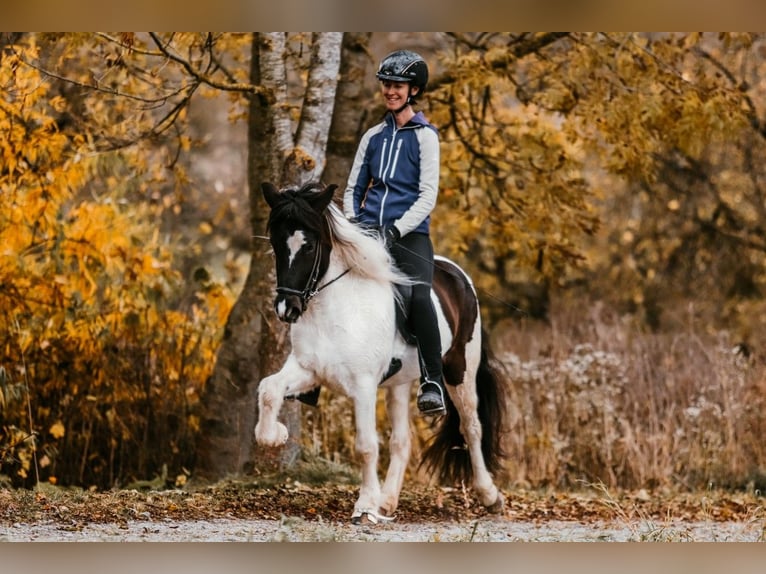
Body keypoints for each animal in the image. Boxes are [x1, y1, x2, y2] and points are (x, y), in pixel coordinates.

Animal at [254, 181, 506, 523]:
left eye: (309, 246)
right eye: (277, 244)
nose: (286, 309)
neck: (334, 307)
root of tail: (458, 275)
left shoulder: (363, 385)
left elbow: (365, 446)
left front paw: (364, 507)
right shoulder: (308, 369)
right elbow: (269, 388)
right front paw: (274, 434)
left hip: (459, 369)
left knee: (471, 427)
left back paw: (490, 496)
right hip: (399, 384)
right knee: (402, 441)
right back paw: (388, 501)